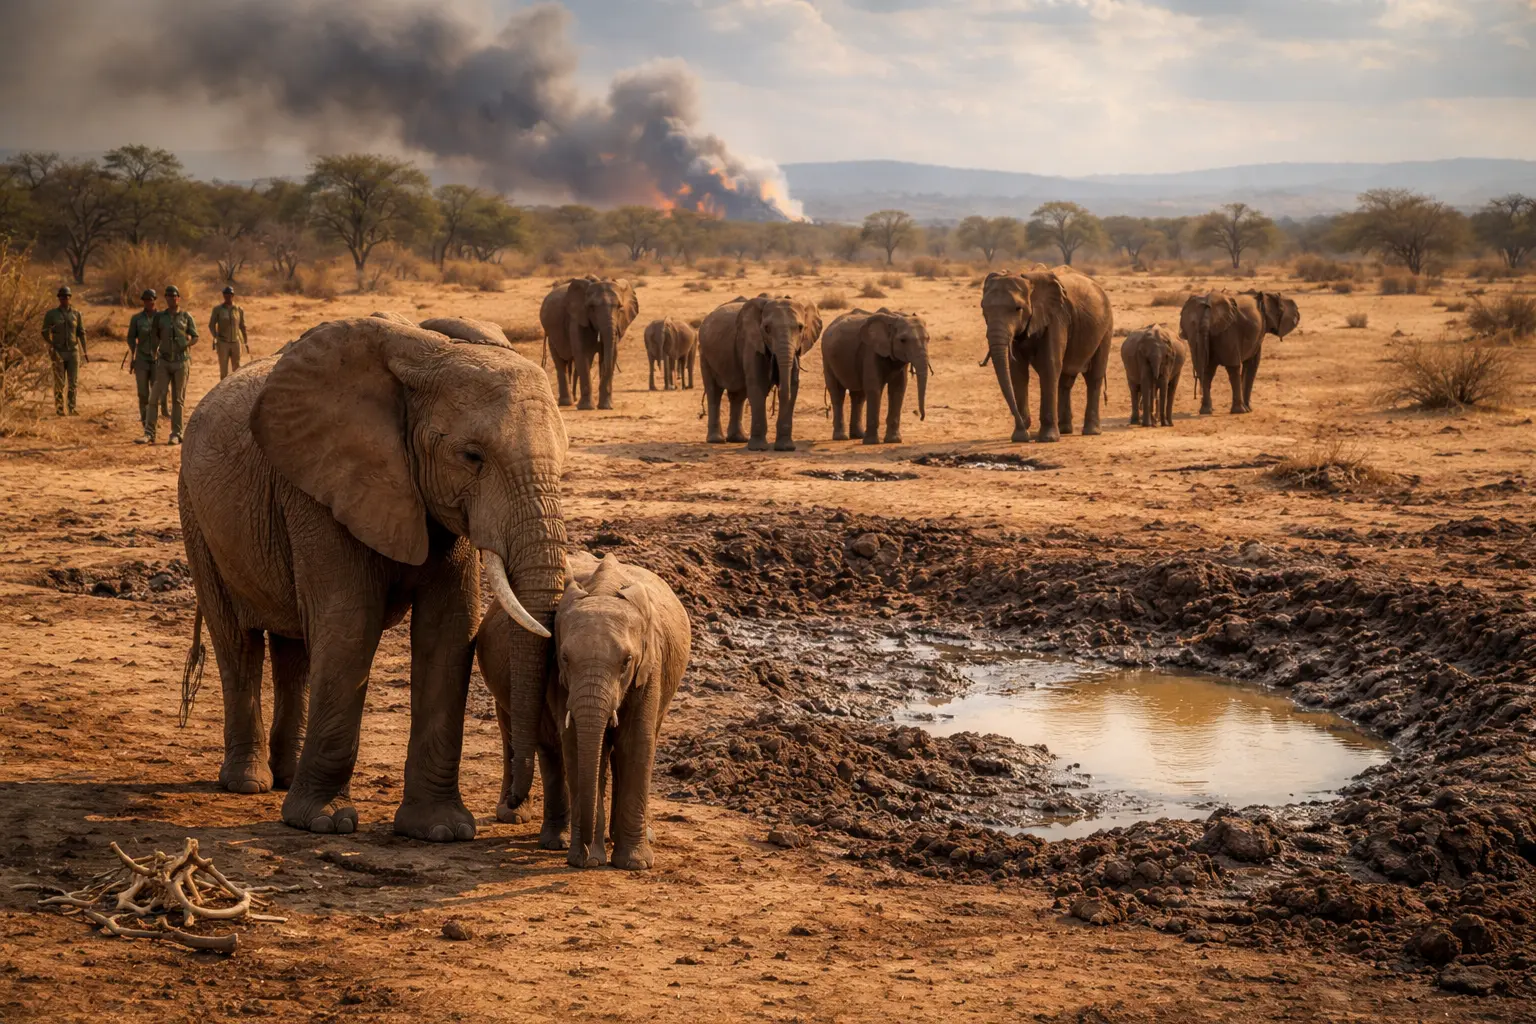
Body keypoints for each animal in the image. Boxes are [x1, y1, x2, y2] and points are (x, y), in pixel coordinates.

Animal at [178, 315, 569, 842]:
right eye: (472, 456)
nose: (511, 807)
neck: (427, 356)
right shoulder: (321, 489)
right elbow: (350, 624)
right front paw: (324, 823)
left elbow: (449, 630)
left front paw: (440, 831)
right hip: (195, 513)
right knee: (237, 640)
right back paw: (248, 783)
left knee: (295, 647)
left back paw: (284, 777)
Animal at [539, 276, 639, 410]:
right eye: (591, 307)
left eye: (619, 307)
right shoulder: (577, 319)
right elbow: (582, 355)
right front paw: (586, 407)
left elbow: (612, 353)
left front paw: (606, 407)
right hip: (551, 333)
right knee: (560, 362)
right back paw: (567, 403)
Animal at [698, 294, 823, 451]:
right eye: (767, 328)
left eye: (800, 328)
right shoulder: (752, 343)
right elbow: (758, 385)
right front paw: (758, 448)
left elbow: (793, 385)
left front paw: (785, 448)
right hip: (704, 353)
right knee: (714, 391)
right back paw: (716, 440)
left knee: (738, 395)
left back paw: (738, 439)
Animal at [820, 307, 929, 444]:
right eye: (903, 340)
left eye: (928, 339)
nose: (921, 417)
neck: (895, 317)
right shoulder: (870, 351)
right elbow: (874, 388)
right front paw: (871, 442)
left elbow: (898, 389)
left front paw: (894, 440)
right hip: (827, 358)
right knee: (837, 393)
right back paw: (841, 437)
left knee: (858, 396)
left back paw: (858, 435)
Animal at [980, 266, 1114, 442]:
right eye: (984, 310)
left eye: (1018, 308)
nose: (1027, 433)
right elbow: (1018, 373)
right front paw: (1020, 437)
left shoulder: (1056, 318)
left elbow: (1049, 366)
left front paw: (1047, 439)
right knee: (1065, 380)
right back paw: (1064, 430)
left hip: (1106, 327)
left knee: (1093, 377)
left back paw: (1091, 431)